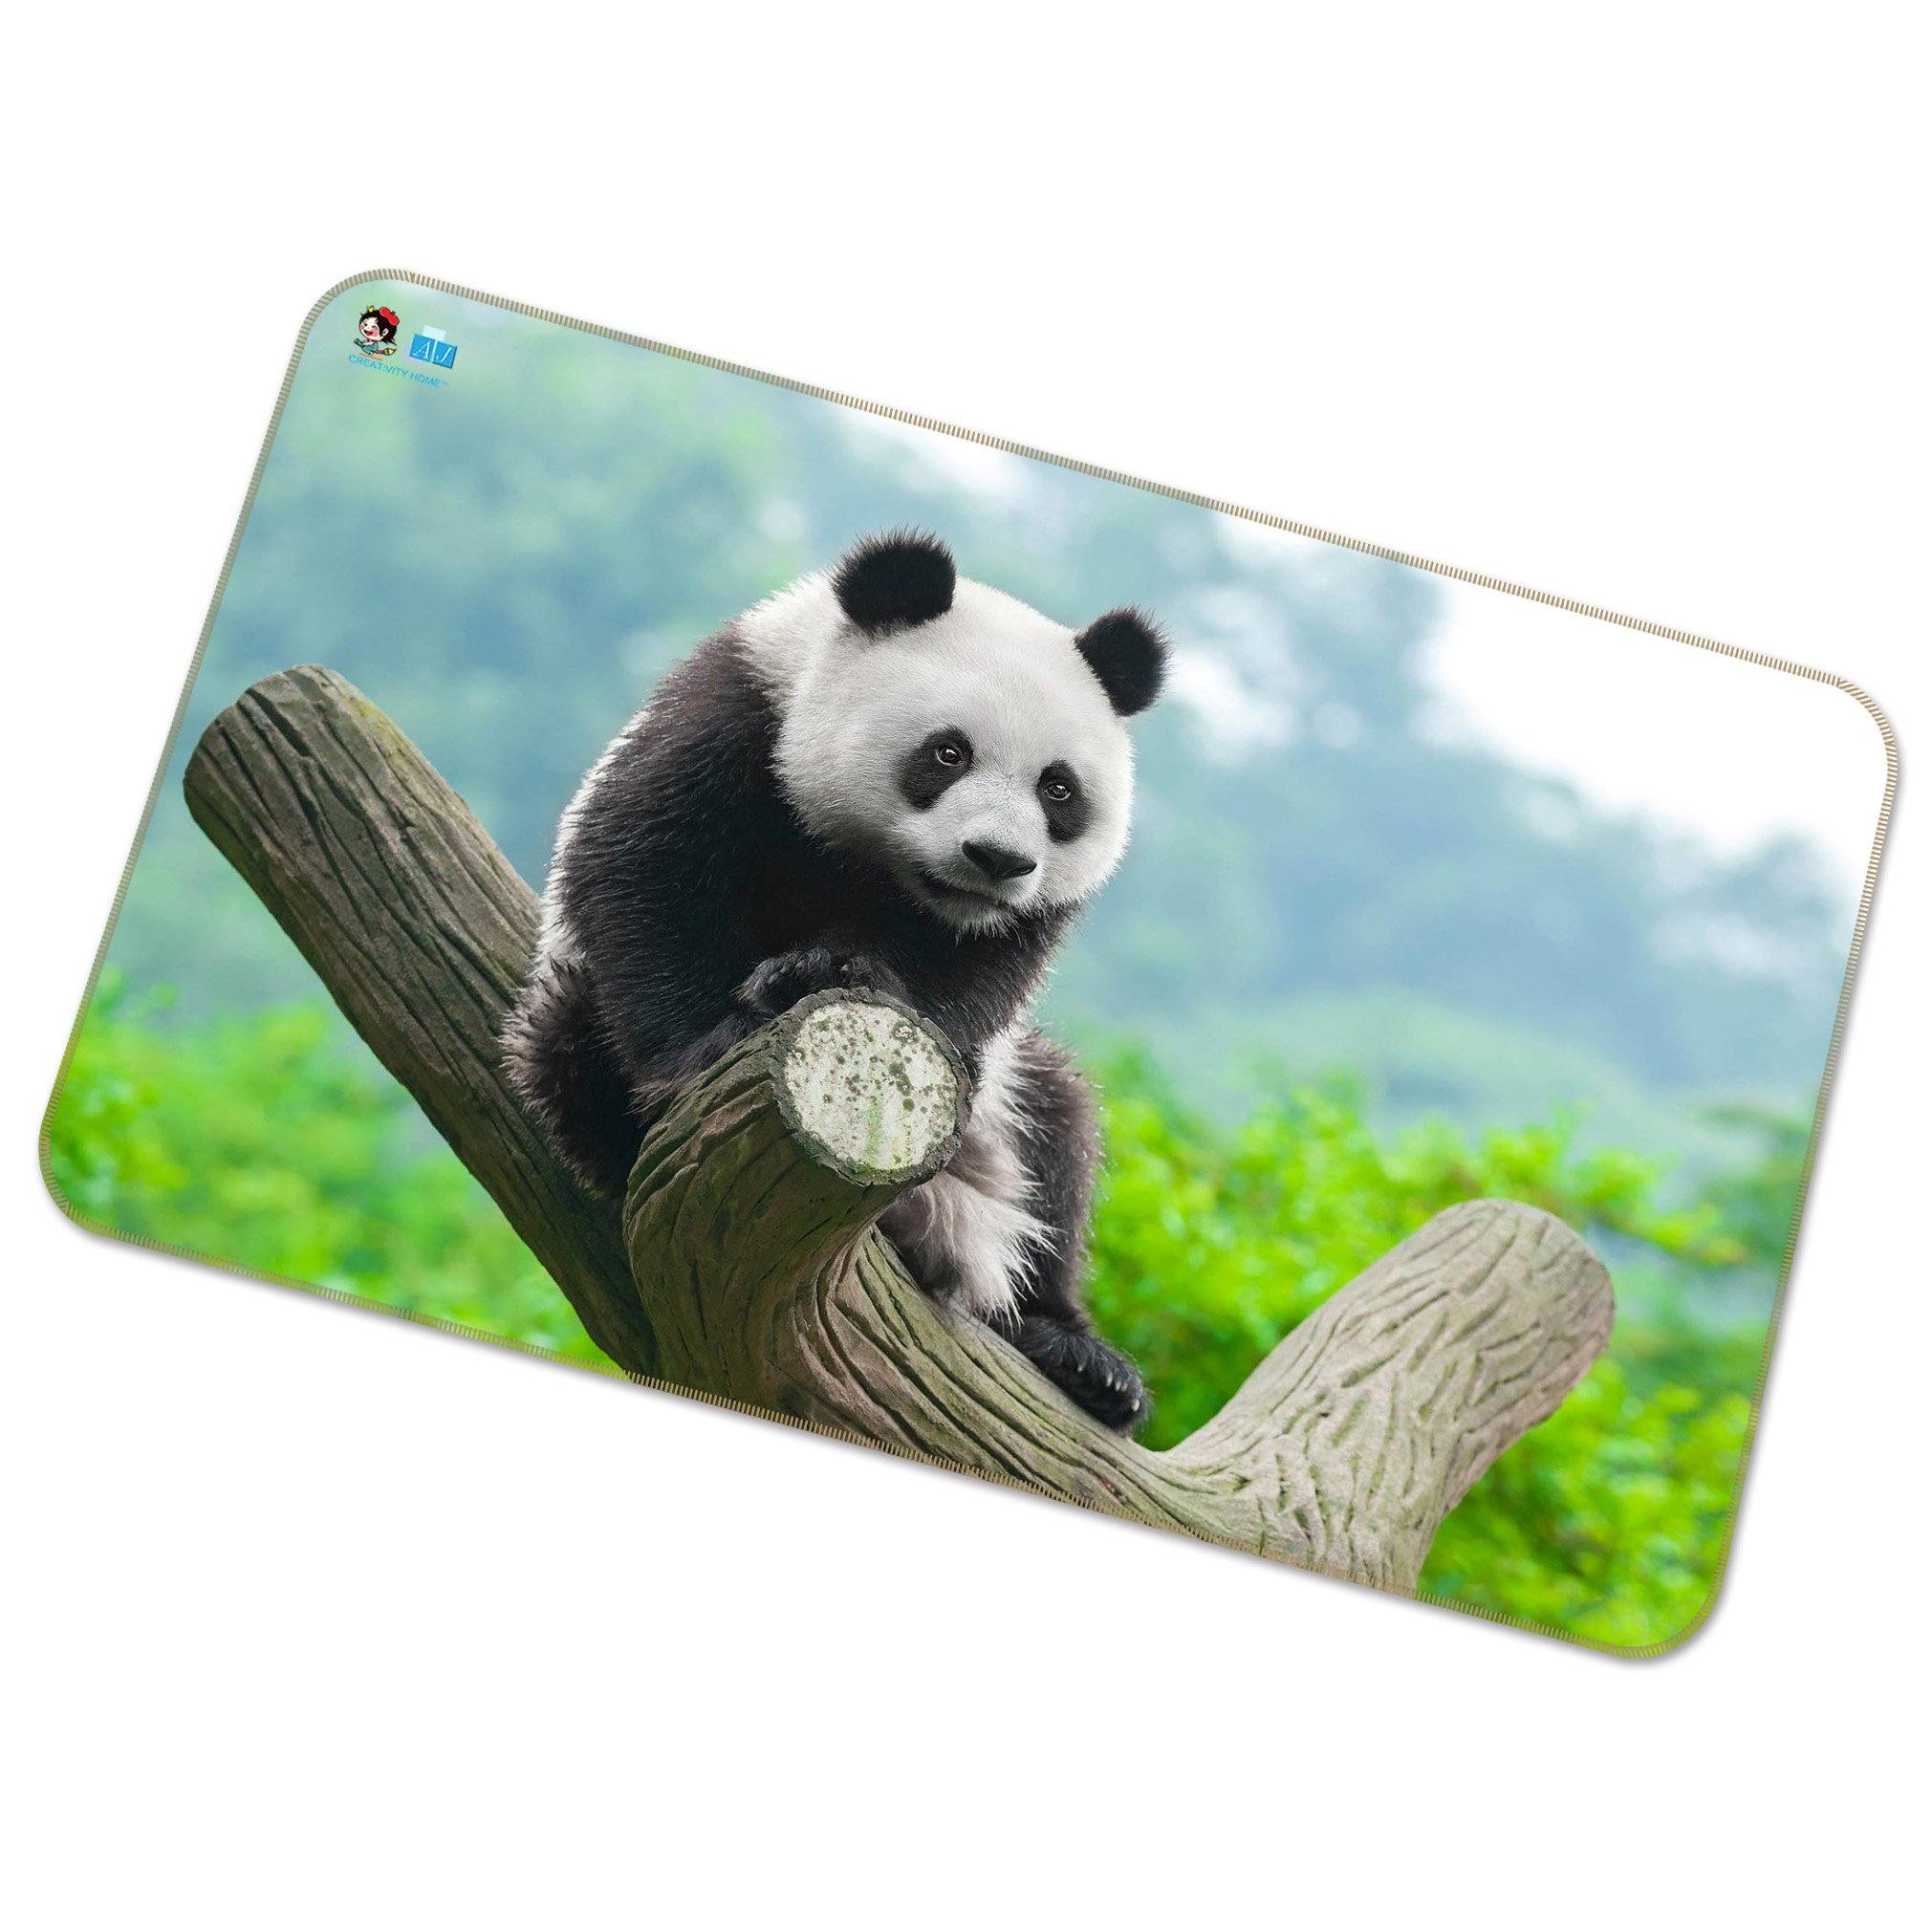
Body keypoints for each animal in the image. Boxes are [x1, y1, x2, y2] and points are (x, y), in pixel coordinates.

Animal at [503, 529, 1165, 1431]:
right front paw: (716, 1039)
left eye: (1057, 789)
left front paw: (836, 967)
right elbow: (646, 875)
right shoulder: (733, 720)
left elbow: (979, 971)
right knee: (566, 1047)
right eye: (947, 752)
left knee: (1057, 1136)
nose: (996, 859)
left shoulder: (1013, 923)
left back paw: (1076, 1354)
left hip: (1004, 1109)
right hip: (571, 1010)